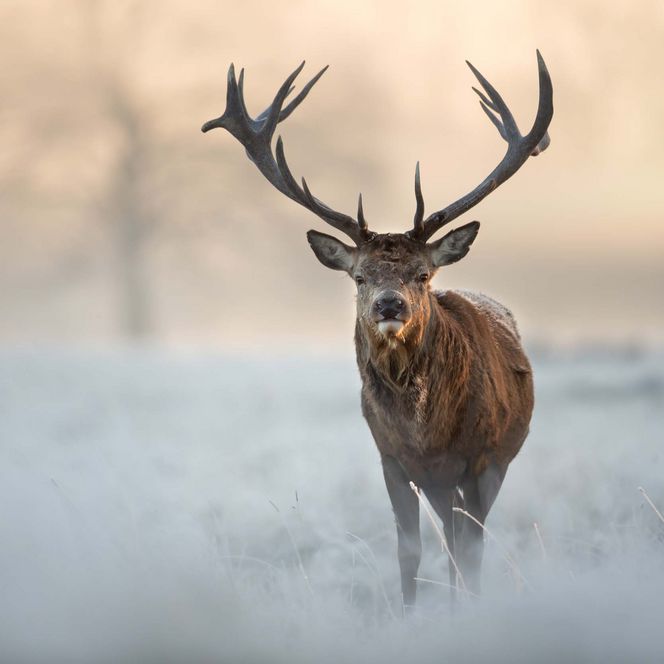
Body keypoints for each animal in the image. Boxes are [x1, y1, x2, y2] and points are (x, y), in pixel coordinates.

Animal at [201, 52, 553, 606]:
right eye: (360, 275)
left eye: (423, 274)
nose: (390, 304)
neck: (426, 434)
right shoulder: (392, 460)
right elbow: (409, 551)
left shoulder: (482, 458)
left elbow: (471, 551)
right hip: (438, 483)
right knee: (449, 536)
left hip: (494, 461)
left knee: (463, 541)